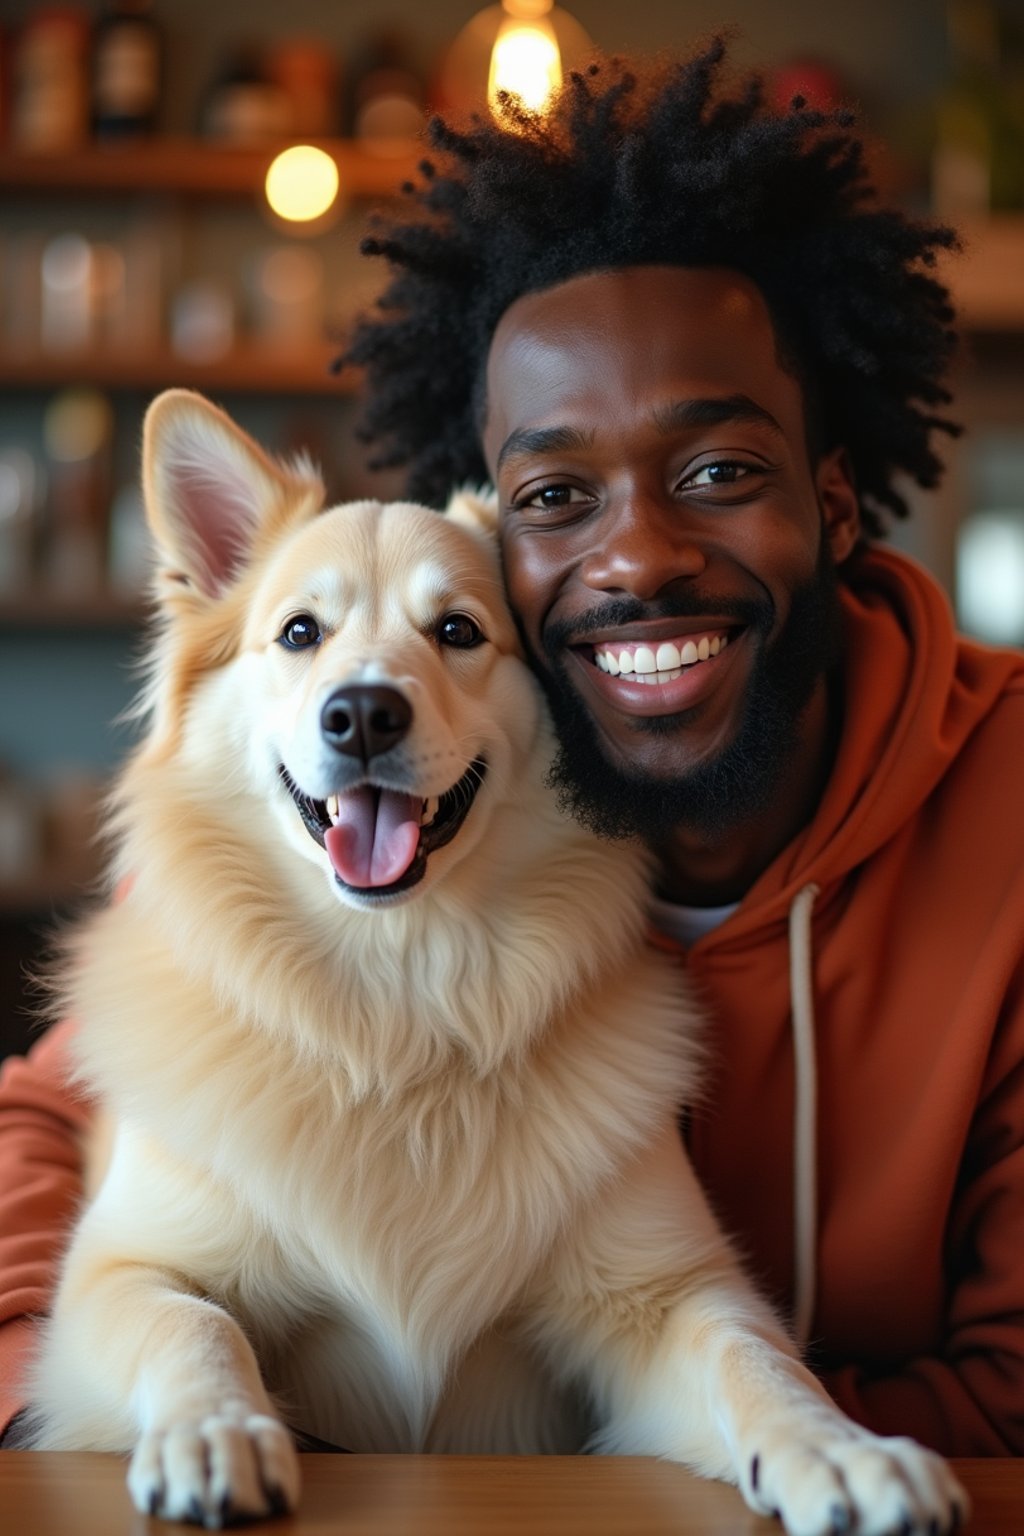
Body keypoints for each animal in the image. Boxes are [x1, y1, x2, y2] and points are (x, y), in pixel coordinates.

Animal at [26, 393, 970, 1536]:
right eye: (299, 633)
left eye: (458, 632)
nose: (362, 713)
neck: (397, 1001)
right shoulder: (118, 1276)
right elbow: (192, 1324)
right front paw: (217, 1428)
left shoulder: (667, 1293)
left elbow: (758, 1359)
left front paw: (839, 1448)